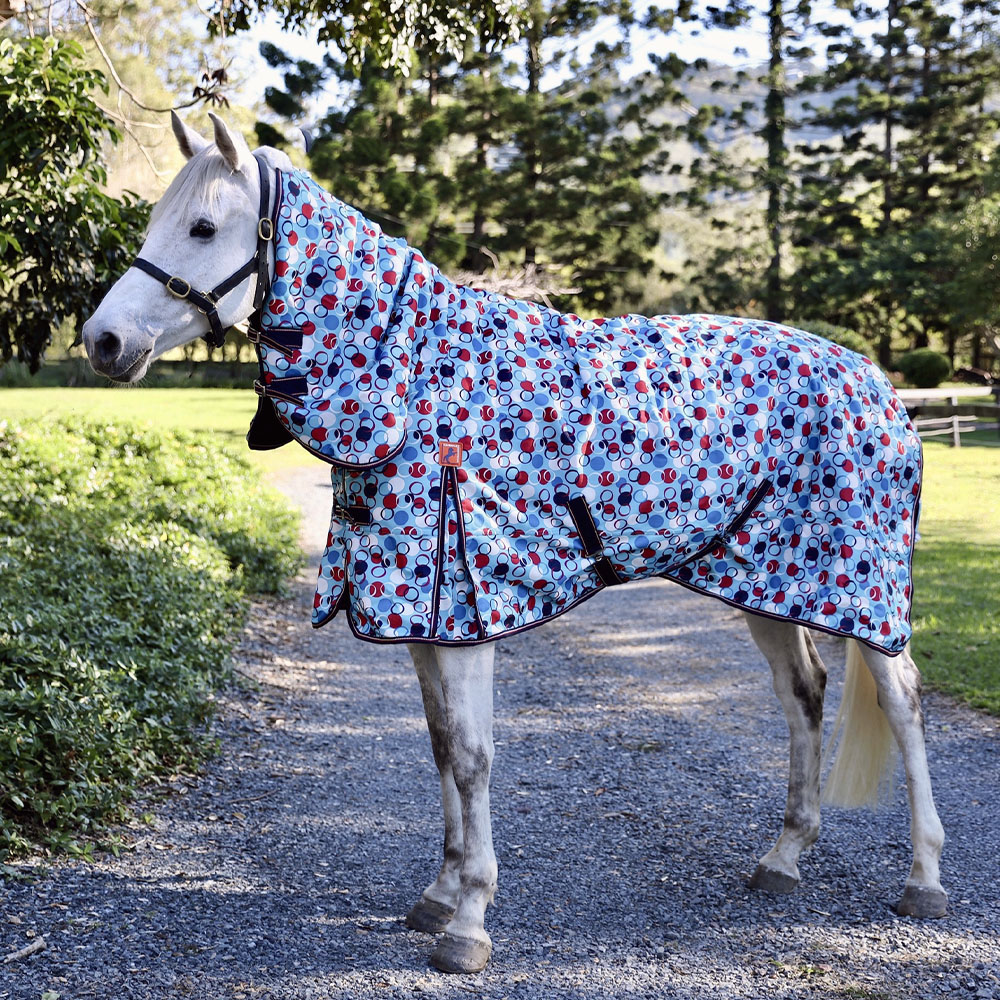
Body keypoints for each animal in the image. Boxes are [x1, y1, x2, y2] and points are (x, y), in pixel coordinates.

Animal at [81, 113, 947, 975]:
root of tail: (875, 379)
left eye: (202, 226)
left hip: (862, 590)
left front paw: (468, 923)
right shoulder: (419, 617)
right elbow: (441, 748)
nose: (102, 340)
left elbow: (472, 756)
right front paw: (438, 895)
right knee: (803, 693)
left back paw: (924, 879)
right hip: (767, 581)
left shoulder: (463, 615)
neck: (416, 380)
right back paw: (783, 858)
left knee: (901, 701)